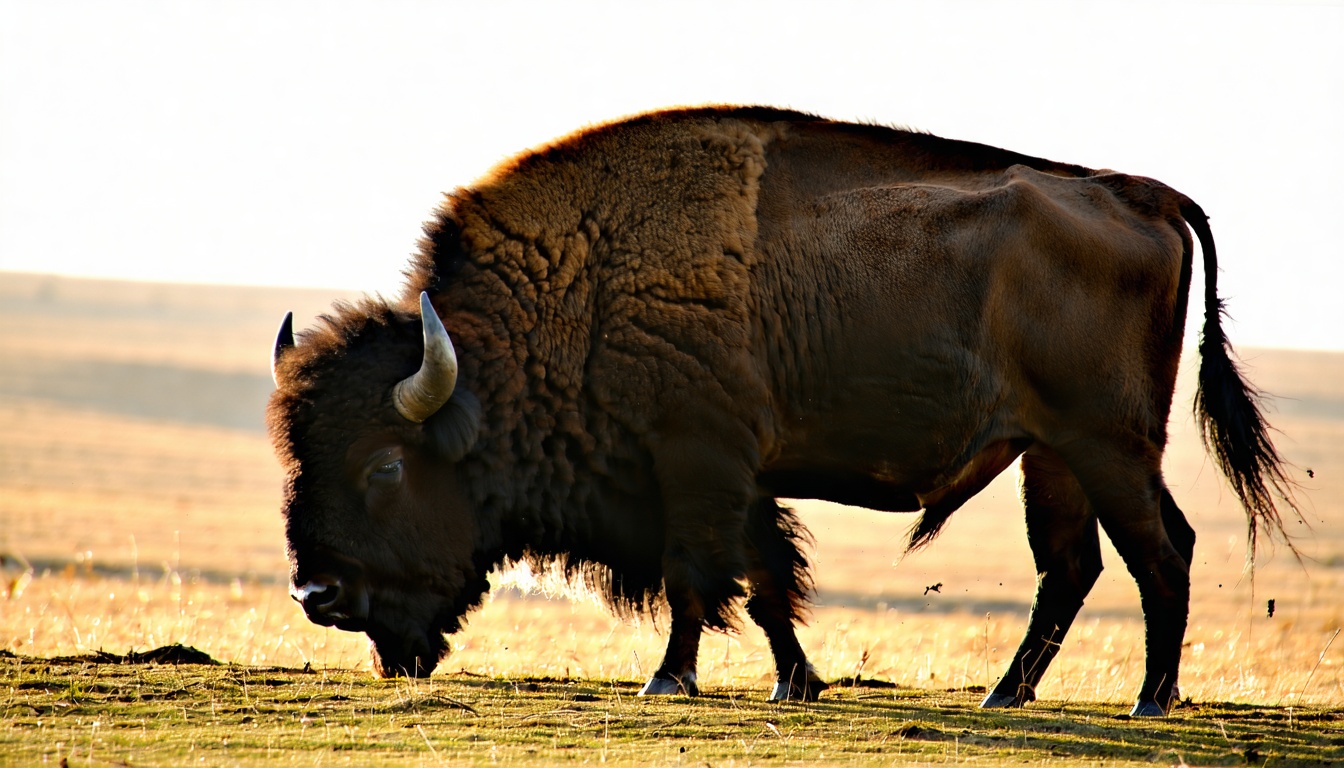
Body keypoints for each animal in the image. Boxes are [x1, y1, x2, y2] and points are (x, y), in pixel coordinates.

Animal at [268, 106, 1296, 716]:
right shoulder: (742, 480)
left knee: (1160, 552)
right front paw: (797, 684)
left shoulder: (695, 465)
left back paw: (1151, 699)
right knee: (1073, 567)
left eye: (386, 464)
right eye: (297, 454)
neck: (578, 292)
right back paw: (1005, 697)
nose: (317, 597)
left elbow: (698, 580)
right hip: (1052, 456)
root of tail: (1144, 195)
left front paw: (667, 678)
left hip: (1109, 445)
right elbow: (764, 585)